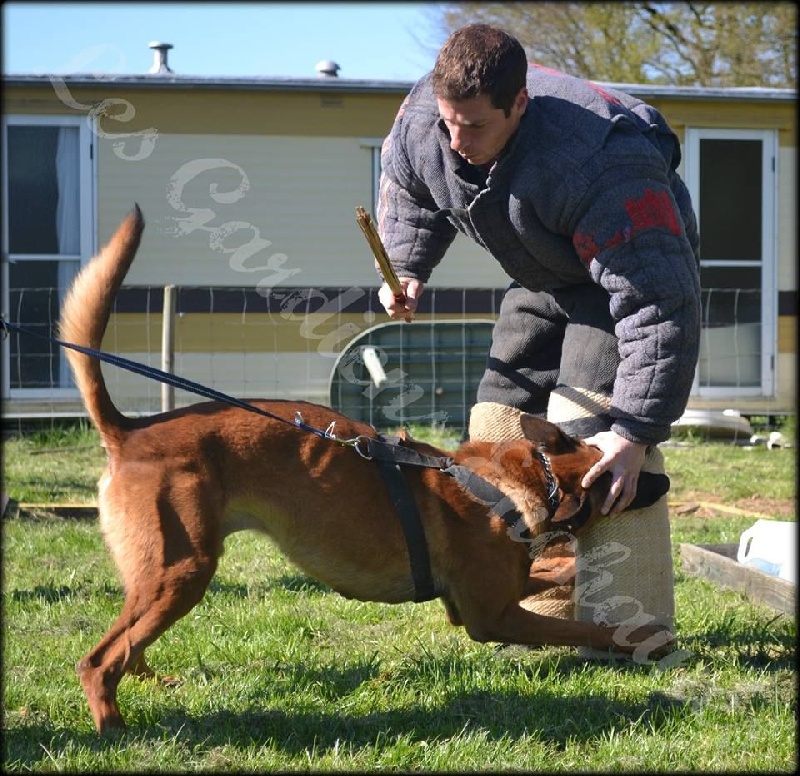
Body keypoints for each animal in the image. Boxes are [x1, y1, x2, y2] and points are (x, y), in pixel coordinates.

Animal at [59, 205, 672, 728]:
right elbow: (584, 624)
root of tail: (129, 433)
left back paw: (152, 681)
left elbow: (552, 571)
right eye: (628, 475)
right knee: (99, 660)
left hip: (159, 575)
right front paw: (640, 635)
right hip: (182, 571)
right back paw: (115, 729)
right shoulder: (489, 616)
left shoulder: (496, 592)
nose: (666, 481)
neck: (516, 483)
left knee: (128, 645)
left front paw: (569, 572)